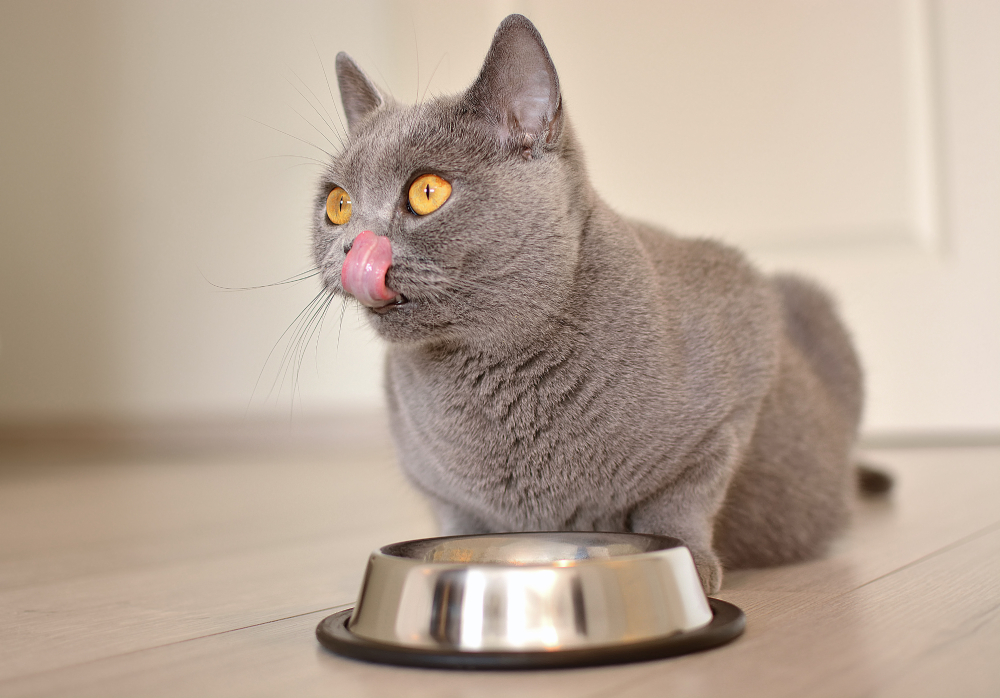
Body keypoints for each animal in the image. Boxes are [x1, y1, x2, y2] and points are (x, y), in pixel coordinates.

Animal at [310, 13, 884, 588]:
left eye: (427, 192)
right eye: (338, 205)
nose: (351, 248)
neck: (490, 375)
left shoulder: (739, 374)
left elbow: (683, 499)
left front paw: (690, 563)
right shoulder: (432, 482)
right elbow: (457, 520)